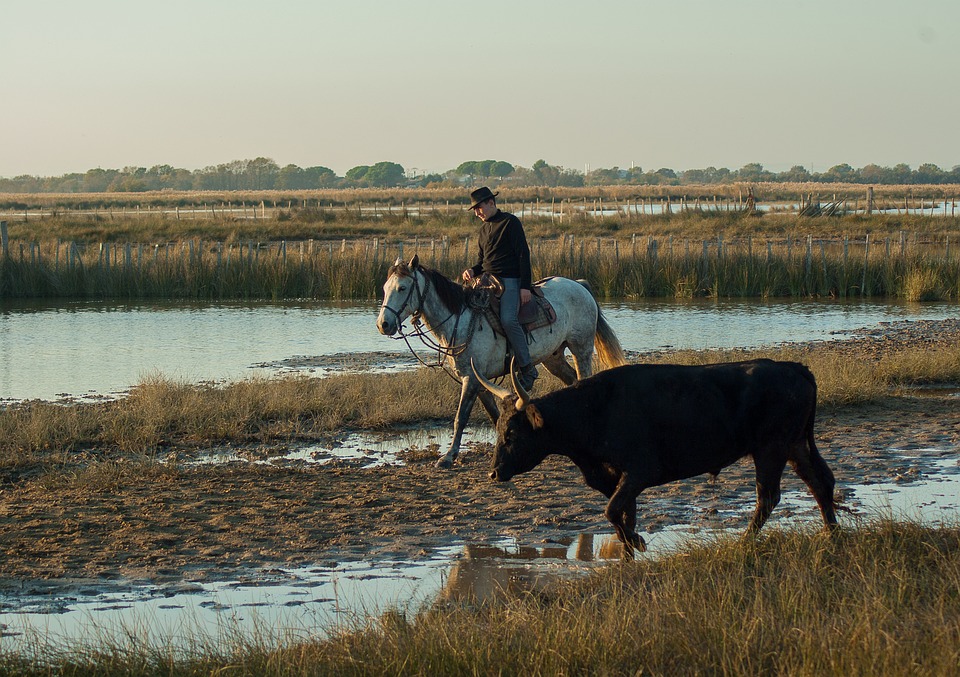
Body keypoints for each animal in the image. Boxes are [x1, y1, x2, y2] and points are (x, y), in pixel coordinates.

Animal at [376, 254, 625, 468]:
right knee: (572, 381)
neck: (461, 320)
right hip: (553, 359)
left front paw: (447, 457)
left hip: (581, 350)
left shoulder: (470, 380)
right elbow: (495, 416)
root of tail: (578, 285)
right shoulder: (479, 380)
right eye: (385, 288)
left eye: (402, 288)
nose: (383, 325)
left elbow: (460, 417)